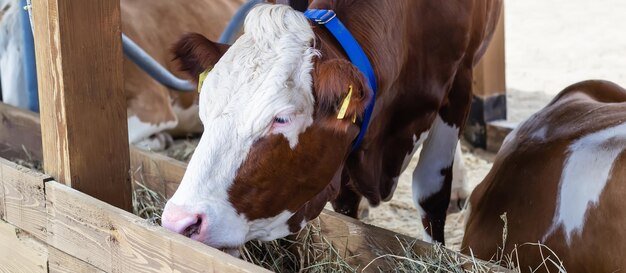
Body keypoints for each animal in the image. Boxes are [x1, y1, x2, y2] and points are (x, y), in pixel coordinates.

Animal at [161, 0, 502, 251]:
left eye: (282, 118)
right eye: (205, 109)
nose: (180, 221)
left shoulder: (460, 81)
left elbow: (431, 193)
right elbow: (347, 204)